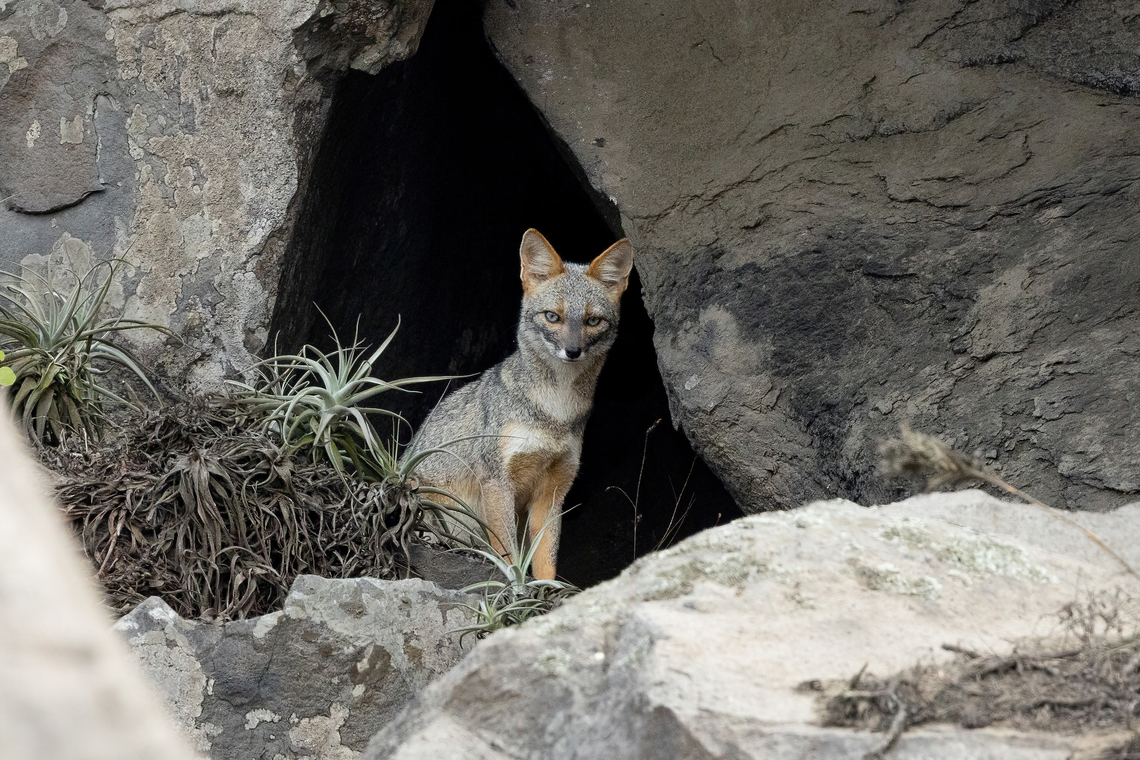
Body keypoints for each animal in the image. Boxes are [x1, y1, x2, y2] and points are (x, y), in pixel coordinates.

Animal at [408, 228, 633, 580]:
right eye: (553, 317)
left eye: (593, 321)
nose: (572, 351)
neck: (556, 409)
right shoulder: (497, 481)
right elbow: (508, 553)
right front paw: (514, 586)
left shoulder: (553, 493)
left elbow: (546, 560)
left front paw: (545, 592)